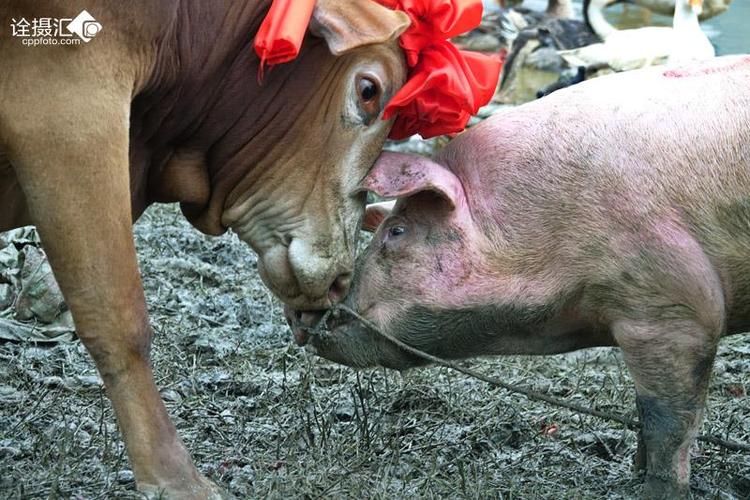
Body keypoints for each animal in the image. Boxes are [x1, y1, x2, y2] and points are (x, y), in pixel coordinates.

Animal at [288, 54, 750, 500]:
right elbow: (641, 411)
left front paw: (656, 490)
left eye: (397, 232)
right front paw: (634, 474)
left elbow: (665, 419)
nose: (301, 312)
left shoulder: (672, 308)